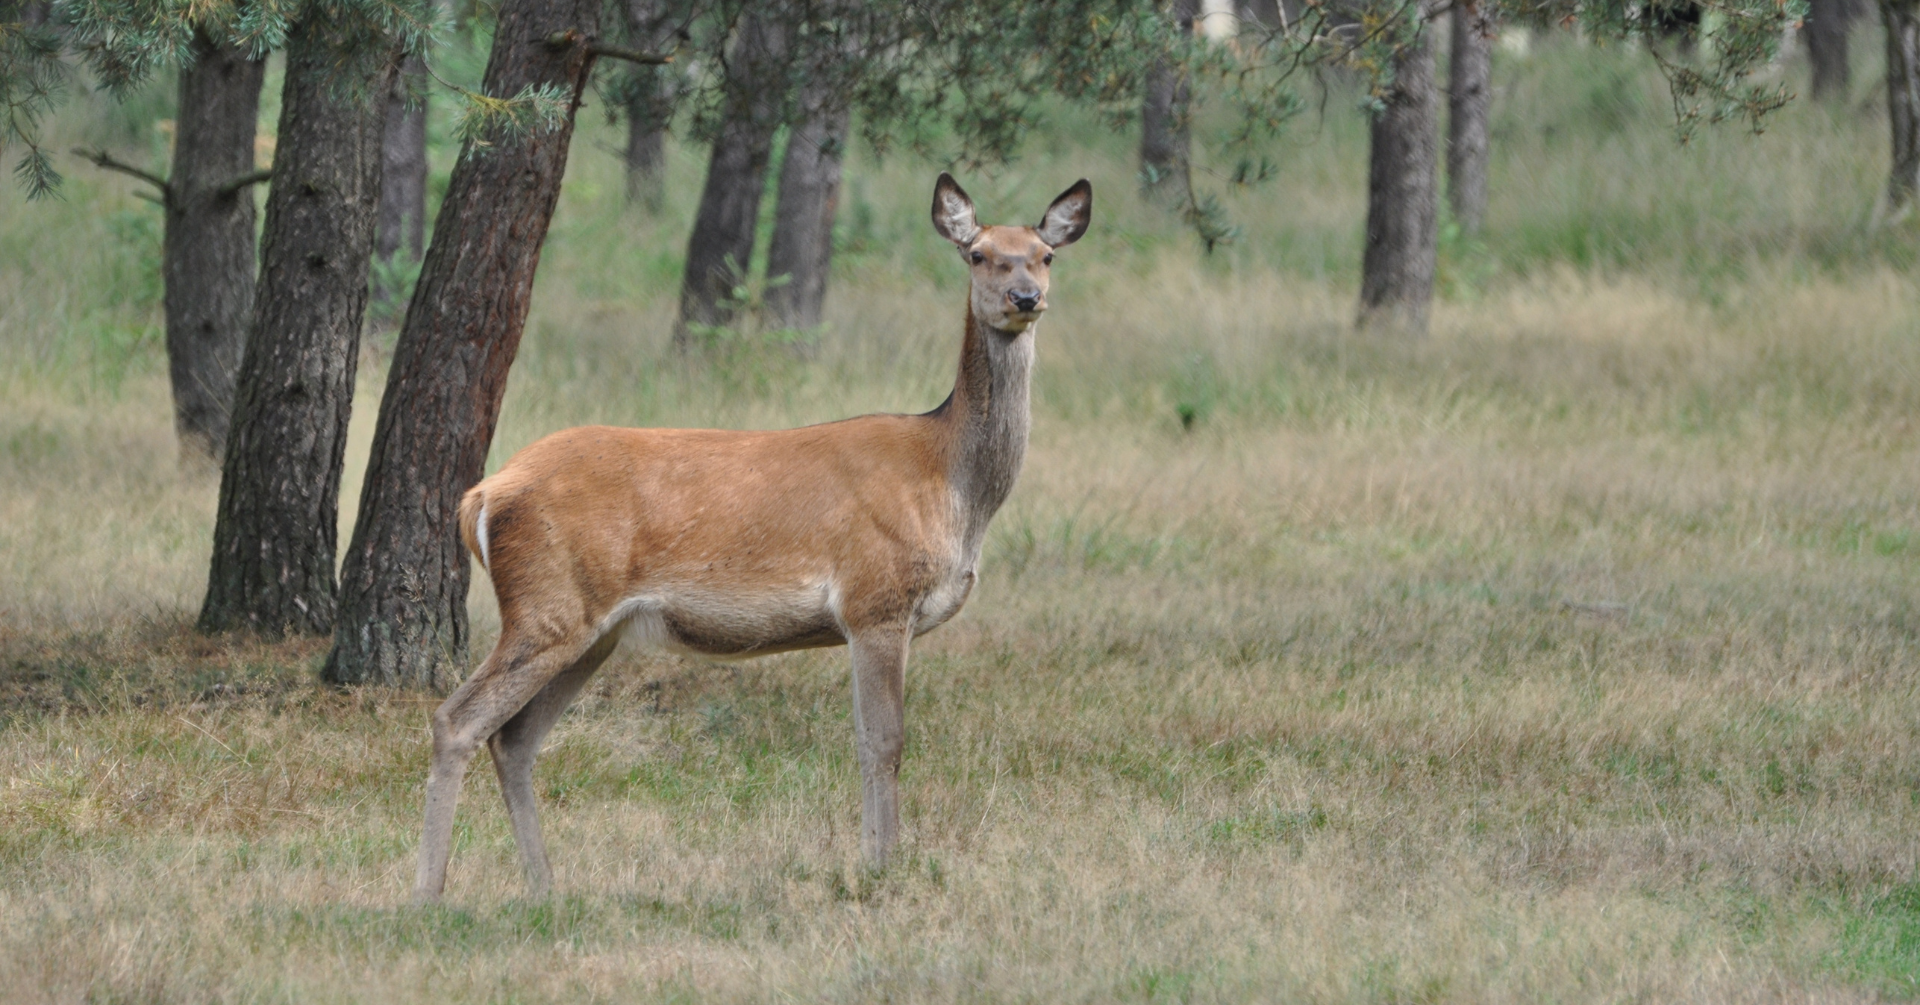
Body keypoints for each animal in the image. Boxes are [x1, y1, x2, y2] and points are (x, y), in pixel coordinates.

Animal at [410, 172, 1090, 903]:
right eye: (979, 254)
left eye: (1045, 254)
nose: (1026, 298)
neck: (951, 481)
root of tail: (483, 495)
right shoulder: (875, 600)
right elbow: (882, 743)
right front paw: (879, 870)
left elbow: (873, 741)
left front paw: (876, 861)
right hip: (548, 604)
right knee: (458, 720)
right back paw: (429, 894)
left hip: (594, 629)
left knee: (514, 739)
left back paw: (546, 887)